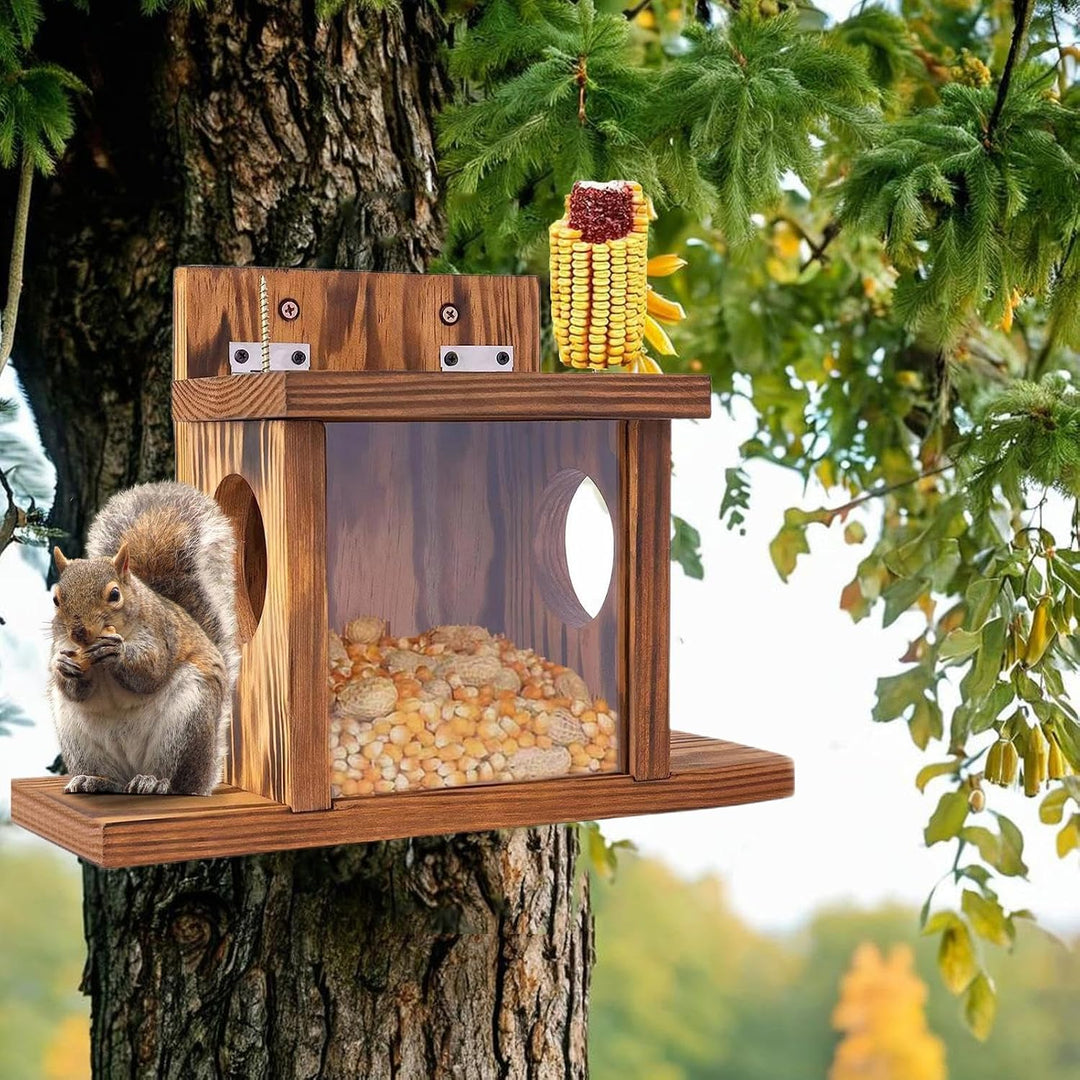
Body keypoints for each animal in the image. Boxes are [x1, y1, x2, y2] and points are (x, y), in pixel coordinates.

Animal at [49, 480, 239, 796]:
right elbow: (73, 688)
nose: (78, 632)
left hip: (187, 723)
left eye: (114, 594)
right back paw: (94, 780)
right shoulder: (60, 642)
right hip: (78, 738)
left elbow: (151, 671)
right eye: (56, 599)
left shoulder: (161, 633)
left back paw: (155, 781)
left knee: (176, 779)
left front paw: (117, 653)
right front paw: (64, 666)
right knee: (112, 779)